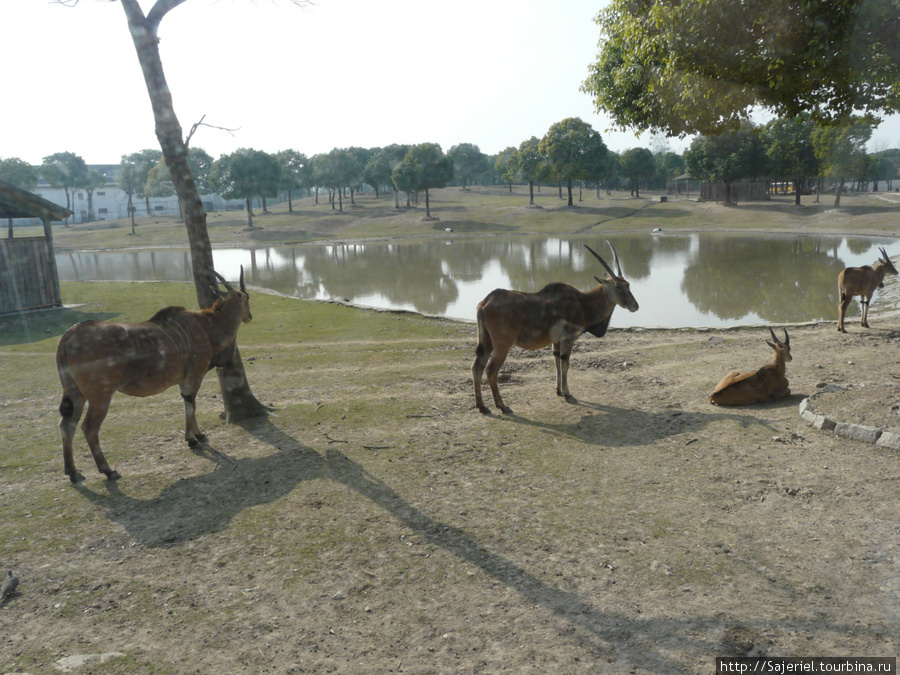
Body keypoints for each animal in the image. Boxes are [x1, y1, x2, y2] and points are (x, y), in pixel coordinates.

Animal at [55, 266, 253, 484]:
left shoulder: (183, 381)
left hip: (75, 393)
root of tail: (69, 335)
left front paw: (197, 435)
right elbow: (191, 405)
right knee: (89, 427)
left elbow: (188, 404)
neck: (207, 325)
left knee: (66, 424)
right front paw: (192, 439)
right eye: (247, 297)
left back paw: (72, 472)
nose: (249, 316)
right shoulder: (194, 376)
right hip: (100, 396)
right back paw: (108, 470)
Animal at [472, 240, 640, 414]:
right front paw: (568, 395)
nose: (635, 306)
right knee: (491, 370)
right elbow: (565, 364)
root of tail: (485, 302)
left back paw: (482, 406)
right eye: (618, 286)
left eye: (628, 284)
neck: (583, 302)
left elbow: (557, 362)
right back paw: (502, 406)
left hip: (486, 343)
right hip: (503, 345)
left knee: (477, 367)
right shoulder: (568, 339)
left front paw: (558, 390)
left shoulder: (556, 342)